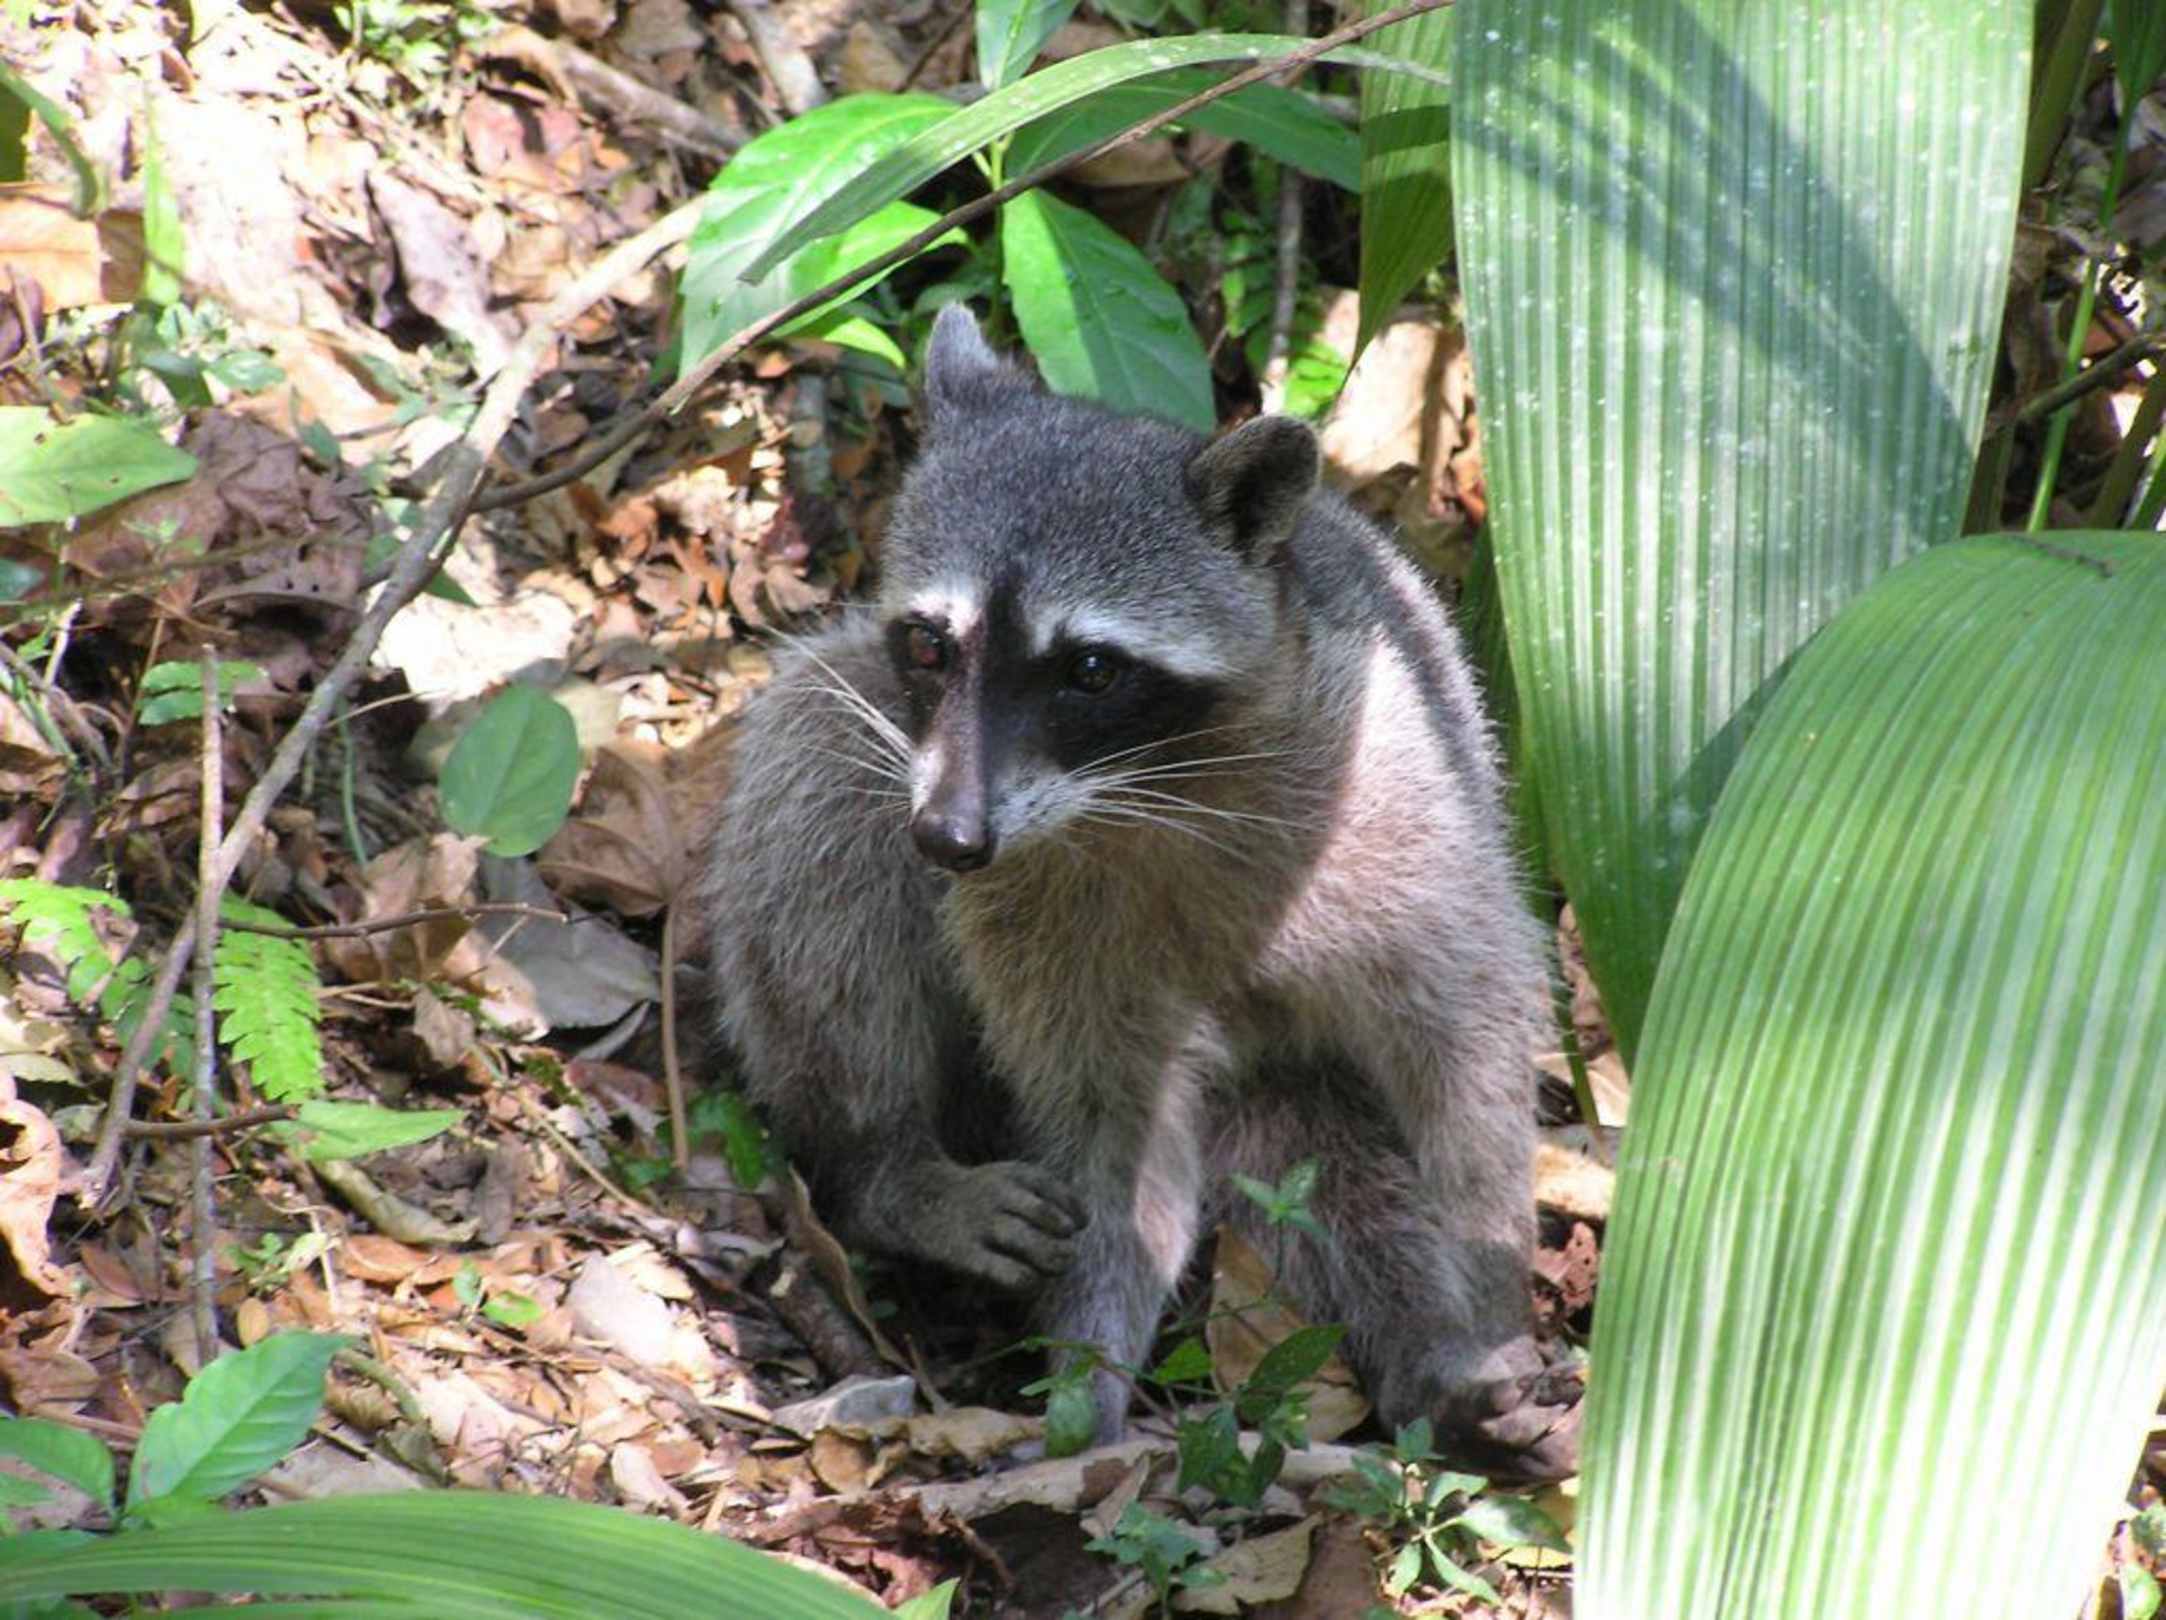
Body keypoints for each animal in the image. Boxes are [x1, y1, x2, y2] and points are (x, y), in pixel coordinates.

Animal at [698, 306, 1575, 1477]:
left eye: (1090, 669)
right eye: (931, 642)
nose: (948, 837)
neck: (1141, 790)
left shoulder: (1401, 823)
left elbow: (1467, 1058)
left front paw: (1484, 1300)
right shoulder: (1041, 922)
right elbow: (1114, 1138)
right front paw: (1087, 1375)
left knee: (1345, 1183)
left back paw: (1425, 1353)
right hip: (873, 767)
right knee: (820, 774)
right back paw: (885, 1164)